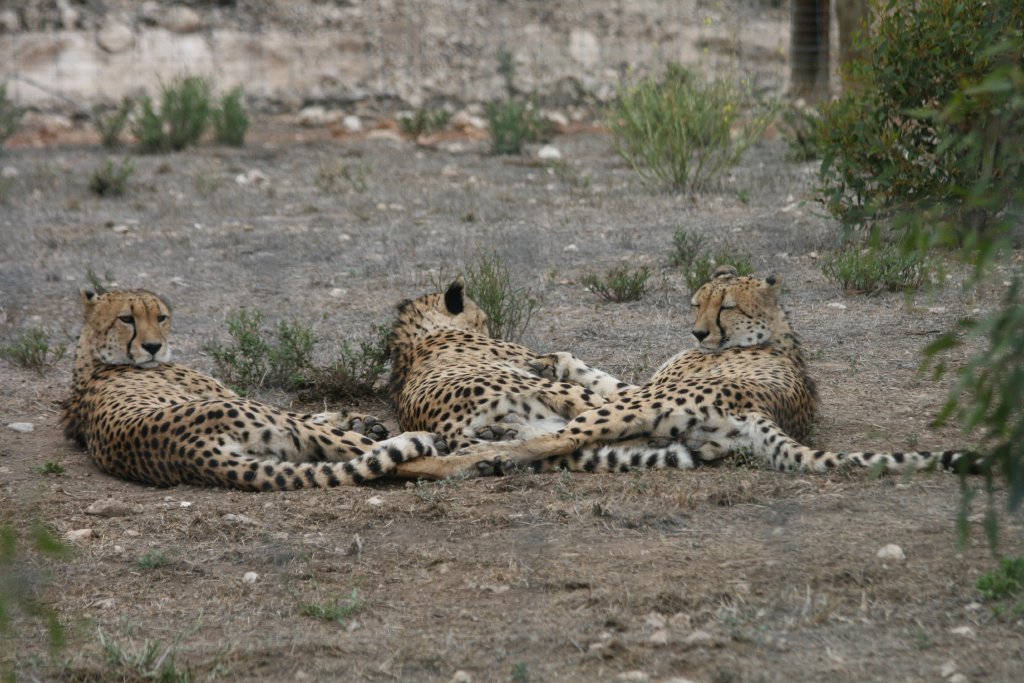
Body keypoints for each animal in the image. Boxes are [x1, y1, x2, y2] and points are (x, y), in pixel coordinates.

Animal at [61, 288, 504, 491]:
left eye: (162, 317)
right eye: (126, 318)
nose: (154, 346)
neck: (92, 356)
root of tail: (187, 454)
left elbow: (318, 411)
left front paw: (359, 417)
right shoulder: (240, 398)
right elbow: (309, 414)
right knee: (413, 459)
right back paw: (493, 454)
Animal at [386, 278, 693, 473]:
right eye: (484, 319)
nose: (489, 327)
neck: (420, 337)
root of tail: (447, 428)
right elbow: (578, 366)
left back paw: (499, 435)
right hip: (556, 392)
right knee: (596, 425)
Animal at [458, 265, 980, 475]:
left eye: (726, 307)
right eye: (697, 303)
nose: (698, 334)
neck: (769, 334)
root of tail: (763, 411)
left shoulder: (642, 390)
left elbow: (597, 387)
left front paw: (547, 367)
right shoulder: (643, 386)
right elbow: (595, 372)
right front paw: (550, 360)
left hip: (639, 408)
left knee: (557, 439)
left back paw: (488, 452)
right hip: (669, 430)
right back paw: (499, 434)